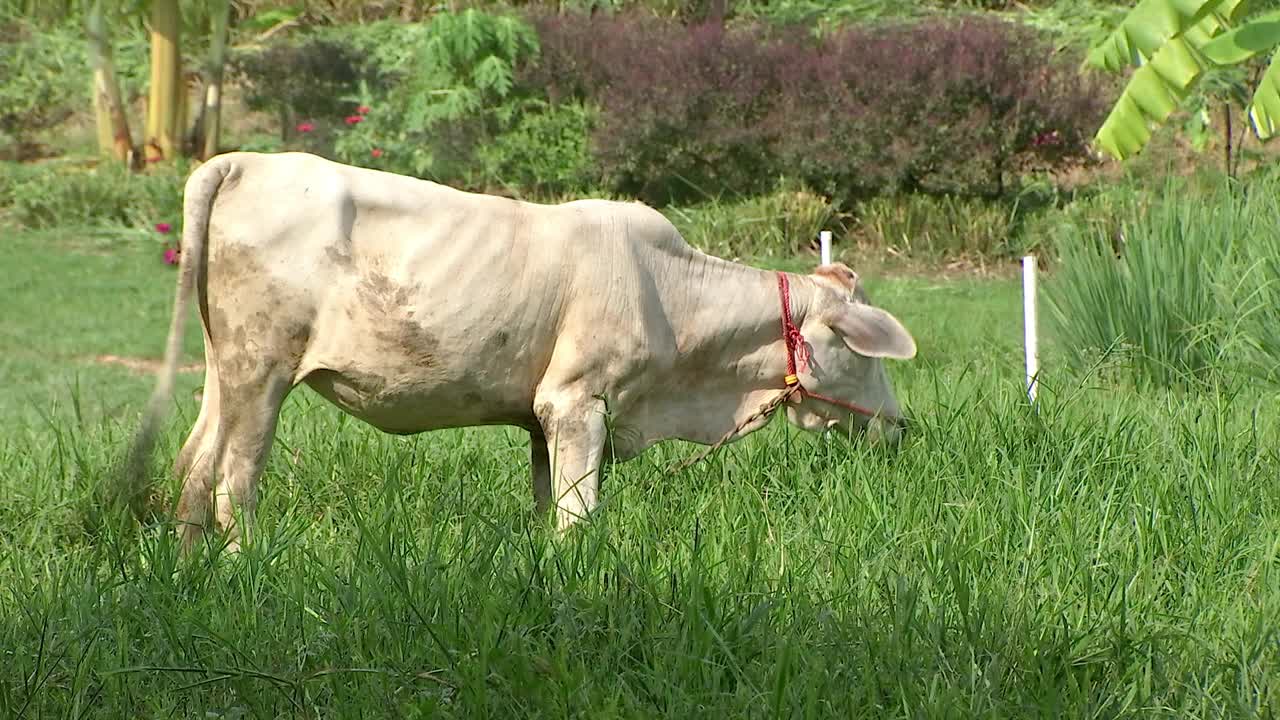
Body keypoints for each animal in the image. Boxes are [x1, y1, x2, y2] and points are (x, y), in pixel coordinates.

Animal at [124, 148, 916, 545]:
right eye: (864, 352)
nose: (901, 427)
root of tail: (242, 160)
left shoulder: (543, 421)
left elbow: (546, 506)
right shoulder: (575, 402)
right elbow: (577, 517)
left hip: (225, 371)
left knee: (194, 471)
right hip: (263, 372)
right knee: (234, 482)